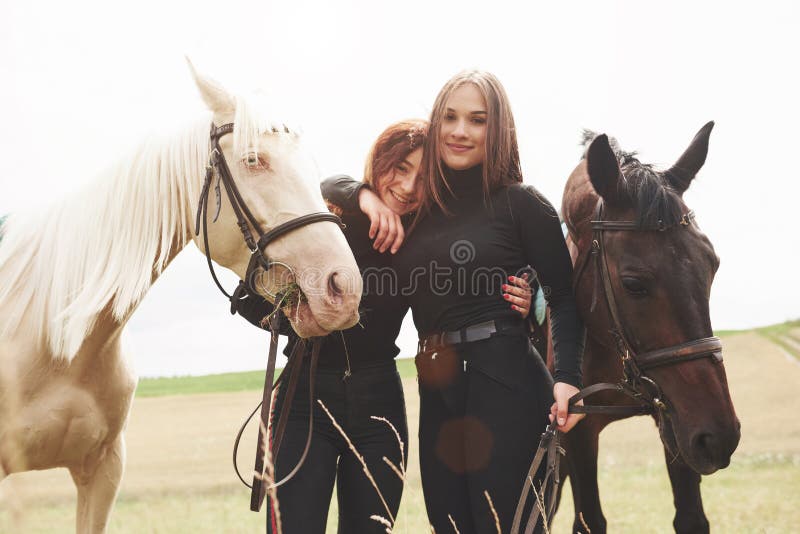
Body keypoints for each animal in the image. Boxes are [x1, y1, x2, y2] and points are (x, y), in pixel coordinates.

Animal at [552, 123, 744, 534]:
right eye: (633, 283)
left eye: (712, 265)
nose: (719, 437)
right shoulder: (577, 431)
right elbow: (589, 519)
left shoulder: (674, 415)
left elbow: (691, 516)